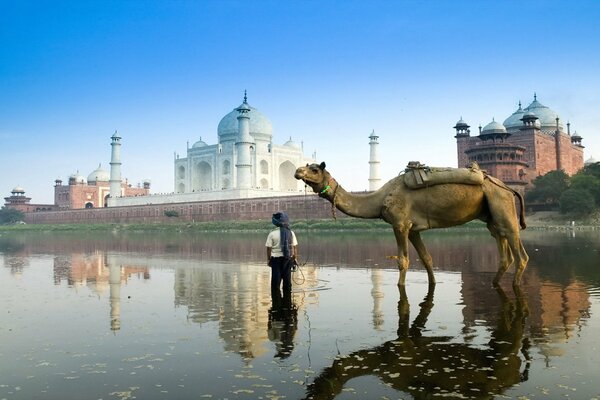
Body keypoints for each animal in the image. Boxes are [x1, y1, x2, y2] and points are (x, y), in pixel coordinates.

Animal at [296, 162, 528, 288]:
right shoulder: (414, 229)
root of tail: (509, 188)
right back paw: (495, 283)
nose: (297, 171)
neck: (380, 199)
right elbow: (426, 258)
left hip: (502, 204)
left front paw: (400, 285)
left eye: (314, 169)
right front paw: (433, 283)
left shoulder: (400, 224)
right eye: (306, 167)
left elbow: (403, 261)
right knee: (503, 250)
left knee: (520, 253)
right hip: (491, 217)